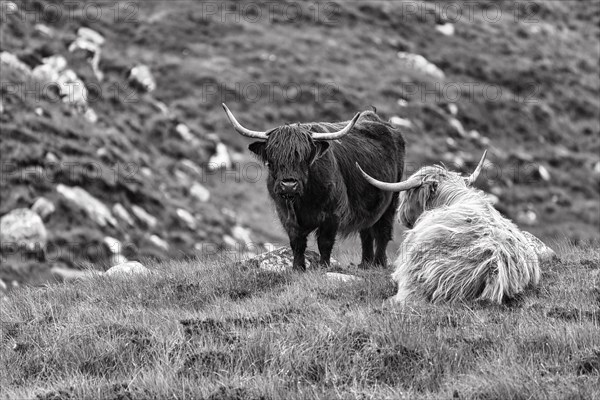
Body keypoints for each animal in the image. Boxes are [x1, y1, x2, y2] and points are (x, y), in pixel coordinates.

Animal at [223, 104, 406, 270]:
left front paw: (323, 266)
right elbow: (296, 242)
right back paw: (365, 264)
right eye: (272, 158)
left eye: (304, 156)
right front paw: (298, 268)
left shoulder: (332, 214)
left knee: (382, 231)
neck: (304, 199)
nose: (288, 185)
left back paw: (378, 263)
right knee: (366, 232)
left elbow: (324, 242)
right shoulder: (286, 215)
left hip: (391, 197)